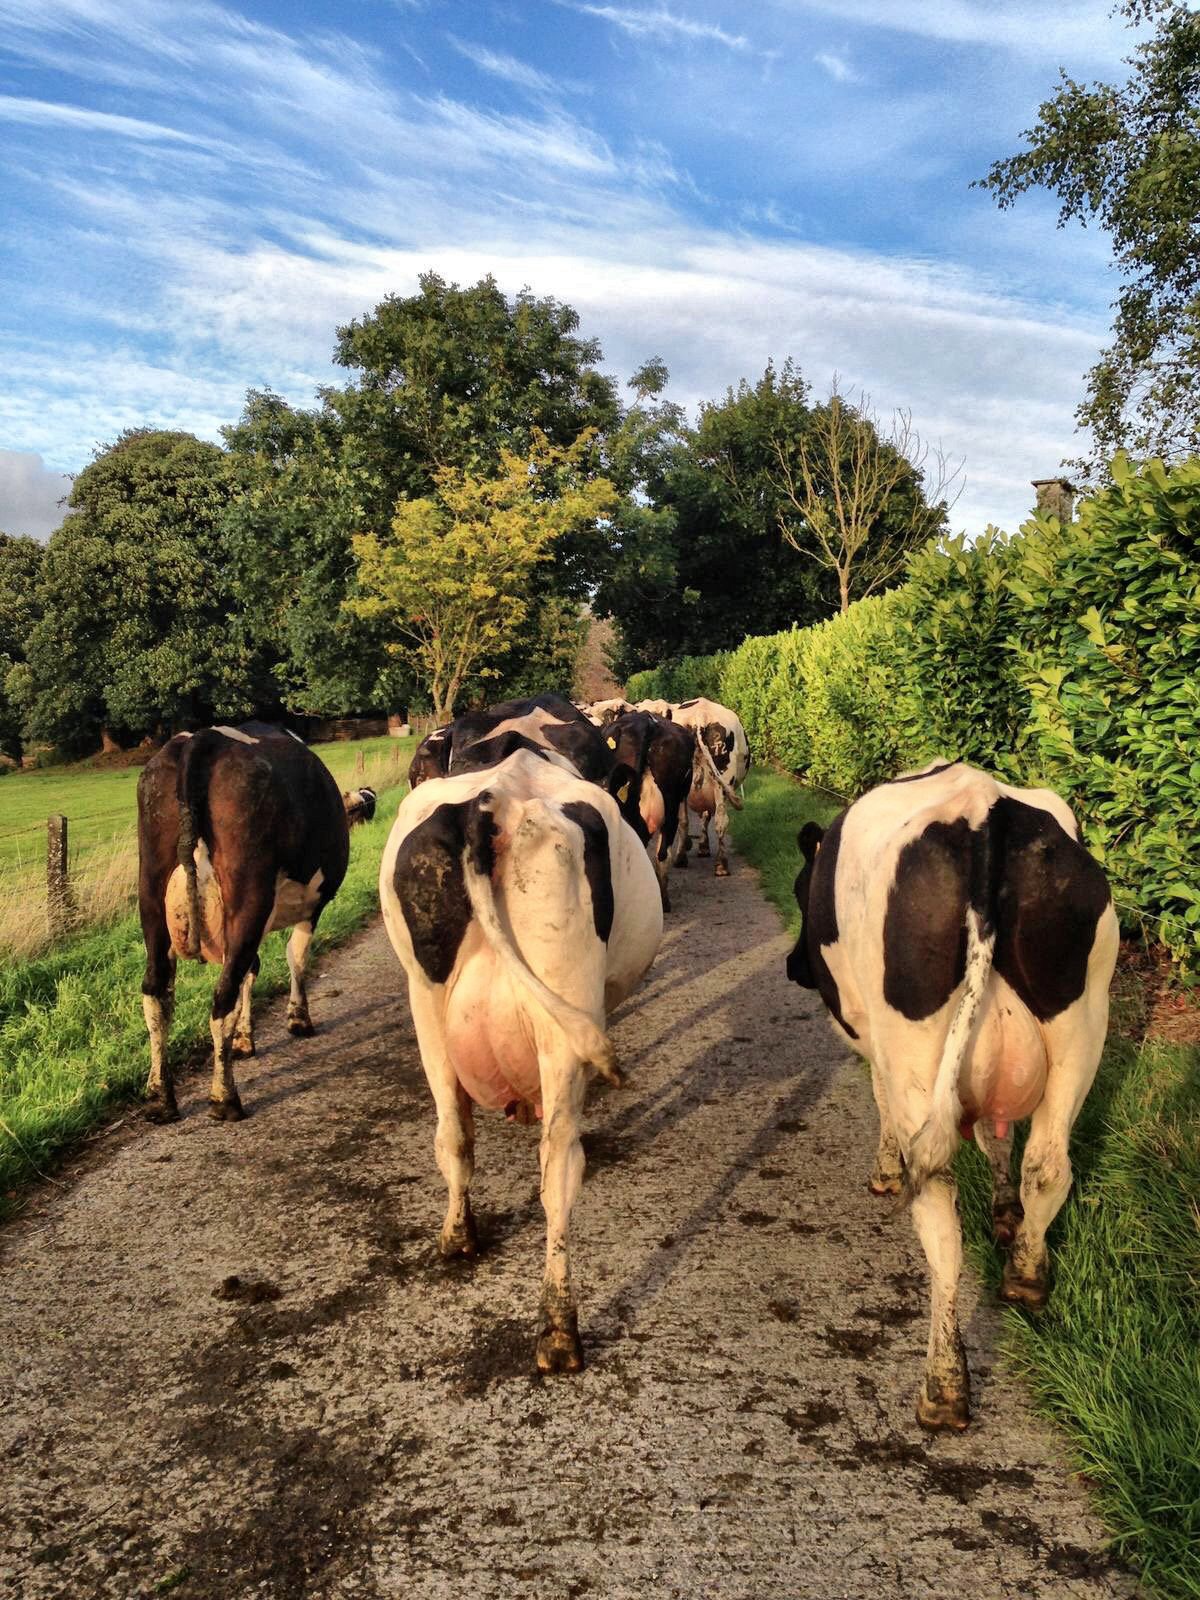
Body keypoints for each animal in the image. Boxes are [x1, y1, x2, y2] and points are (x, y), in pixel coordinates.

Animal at [138, 729, 352, 1126]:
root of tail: (203, 738)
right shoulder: (313, 905)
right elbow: (296, 957)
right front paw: (298, 1019)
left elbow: (250, 973)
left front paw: (243, 1039)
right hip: (249, 895)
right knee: (222, 997)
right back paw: (225, 1098)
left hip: (152, 895)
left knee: (157, 993)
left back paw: (160, 1098)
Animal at [382, 748, 668, 1376]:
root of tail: (492, 802)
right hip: (563, 1005)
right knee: (559, 1166)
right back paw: (559, 1331)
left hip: (425, 998)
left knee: (453, 1132)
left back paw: (457, 1238)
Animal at [672, 697, 748, 876]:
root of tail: (701, 716)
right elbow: (705, 816)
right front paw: (703, 847)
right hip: (722, 781)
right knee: (720, 821)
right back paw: (721, 865)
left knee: (684, 820)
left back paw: (681, 858)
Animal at [790, 755, 1120, 1433]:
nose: (792, 966)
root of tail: (984, 810)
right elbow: (1000, 1144)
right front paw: (1004, 1213)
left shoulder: (873, 1039)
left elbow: (883, 1106)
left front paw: (884, 1173)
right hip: (1082, 1019)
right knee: (1047, 1163)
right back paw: (1026, 1276)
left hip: (916, 1042)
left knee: (939, 1205)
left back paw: (943, 1386)